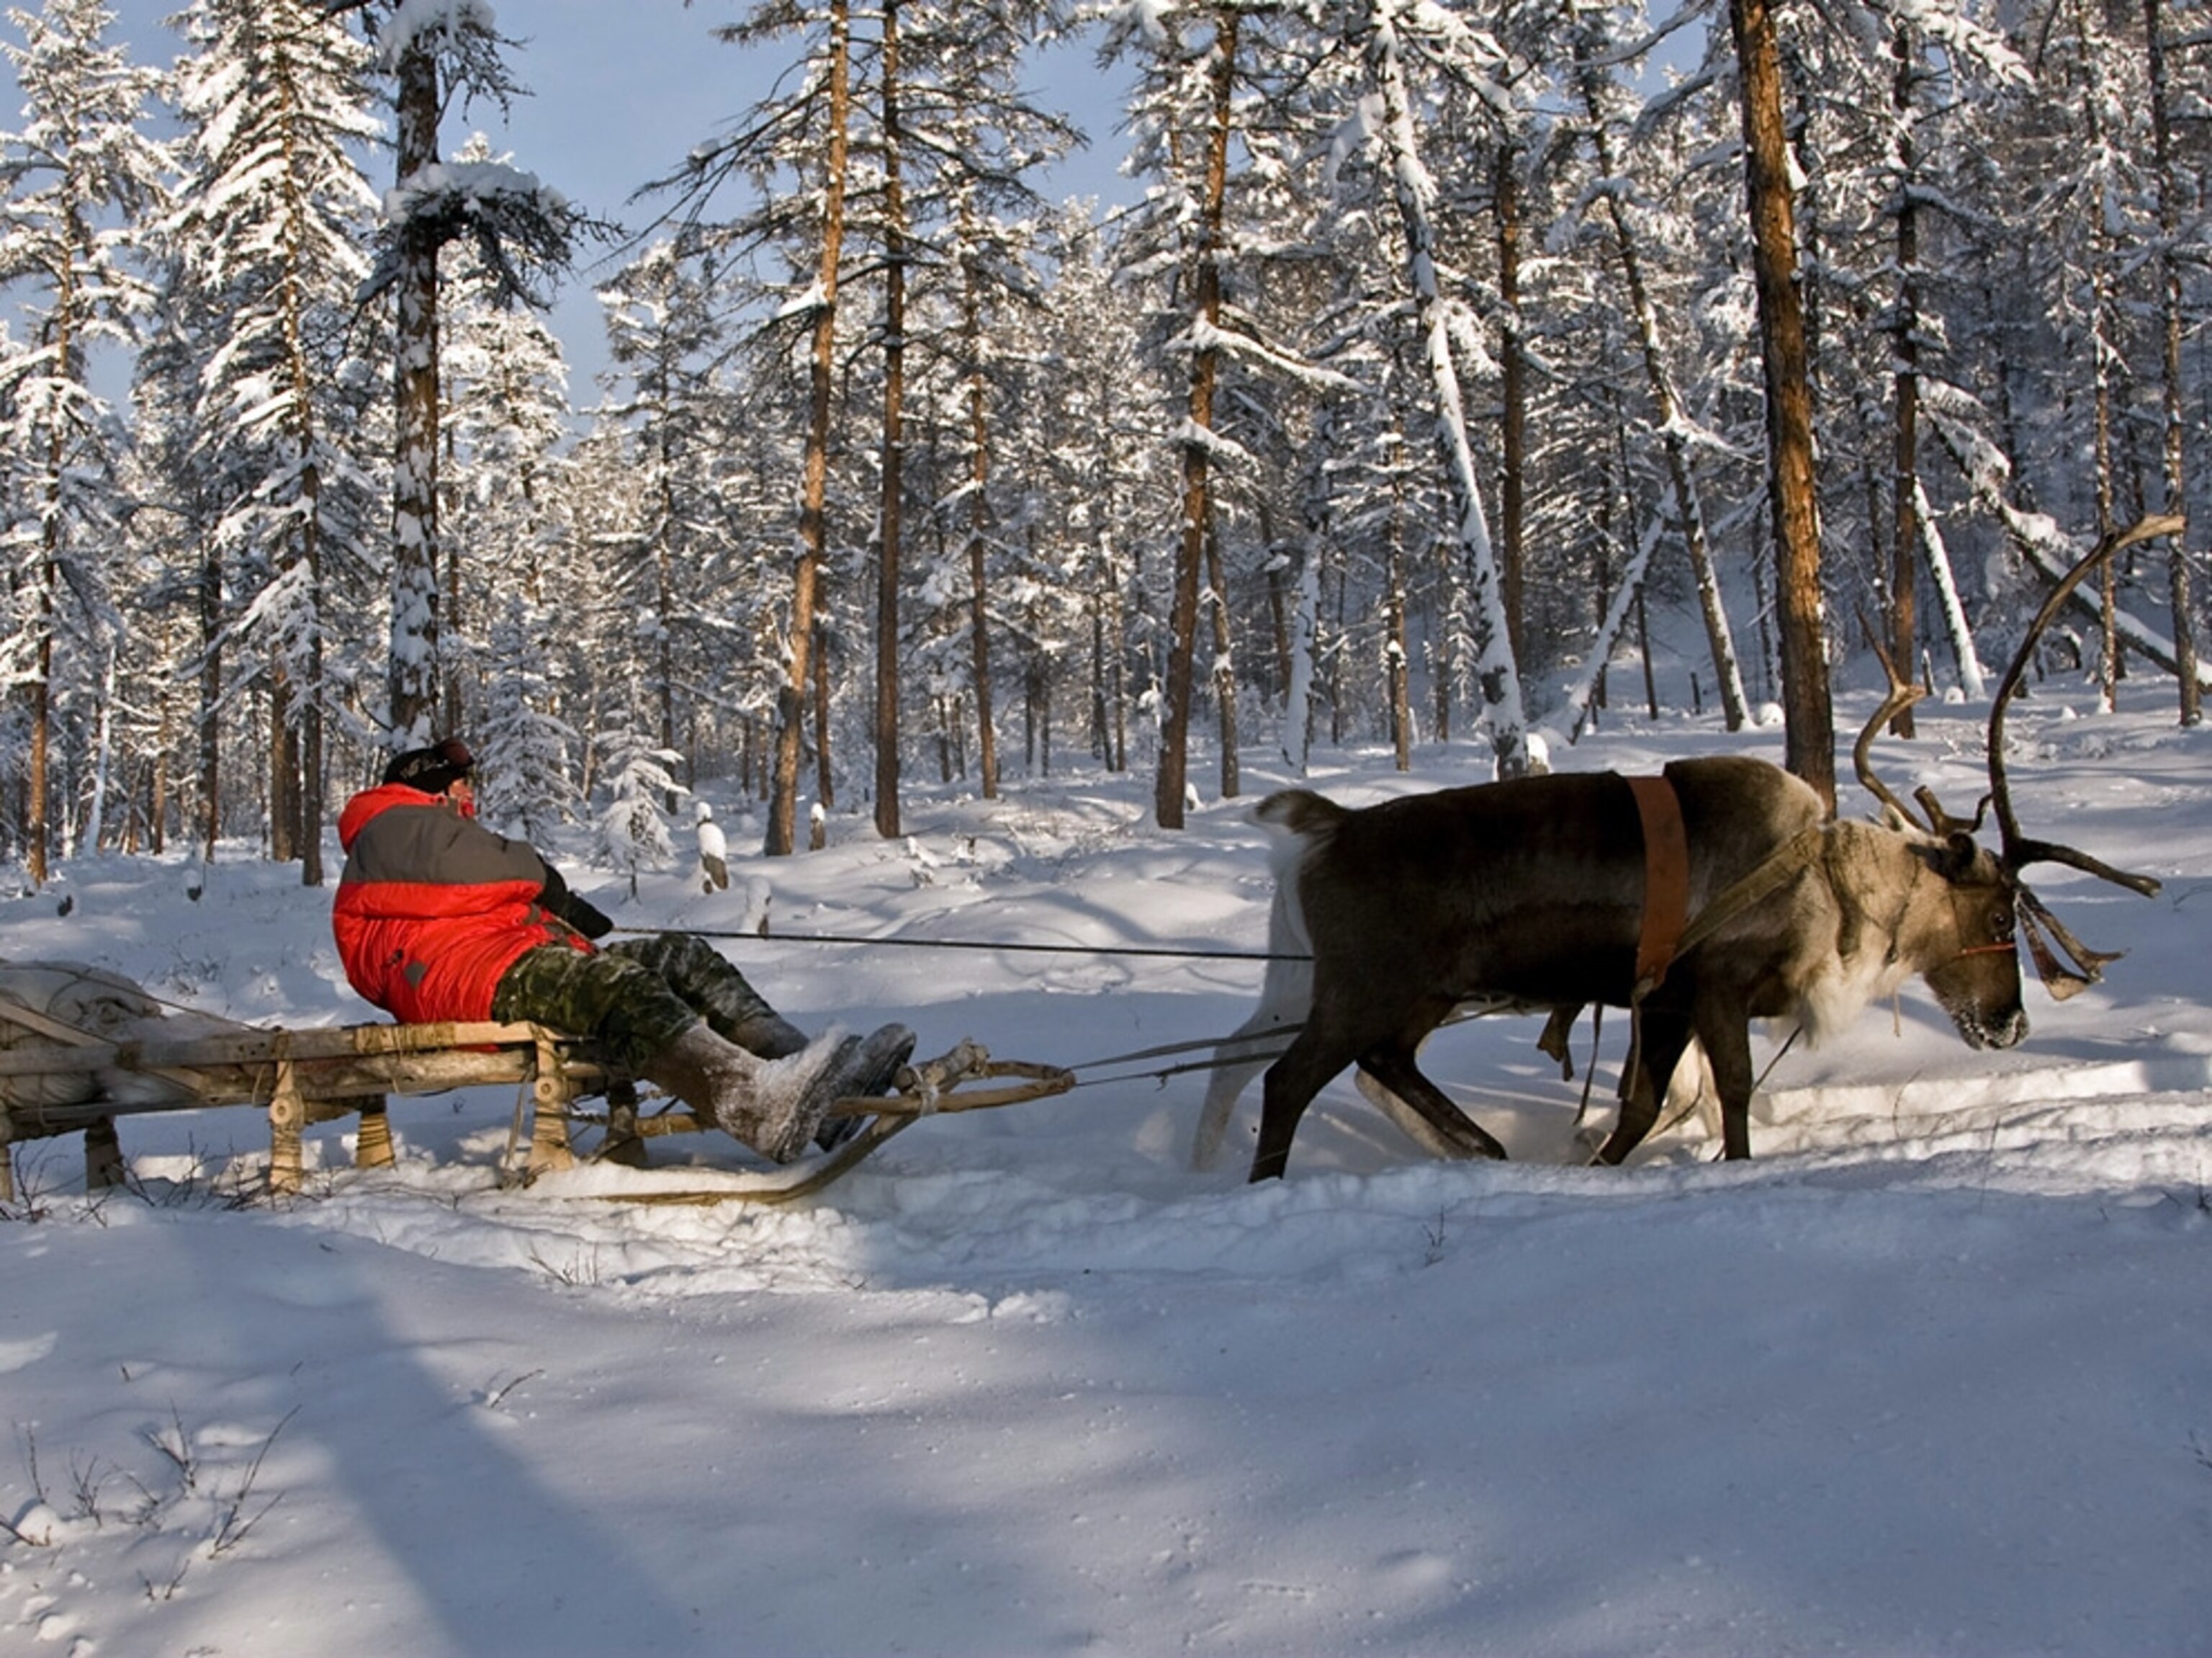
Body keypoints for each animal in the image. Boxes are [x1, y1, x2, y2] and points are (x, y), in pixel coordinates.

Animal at [1215, 519, 2172, 1183]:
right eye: (2002, 912)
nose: (2012, 1024)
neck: (1835, 891)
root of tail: (1323, 830)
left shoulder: (1664, 1000)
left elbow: (1640, 1109)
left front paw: (1600, 1167)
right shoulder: (1717, 984)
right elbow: (1736, 1091)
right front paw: (1733, 1169)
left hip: (1419, 995)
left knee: (1383, 1063)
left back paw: (1481, 1144)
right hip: (1364, 988)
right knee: (1286, 1079)